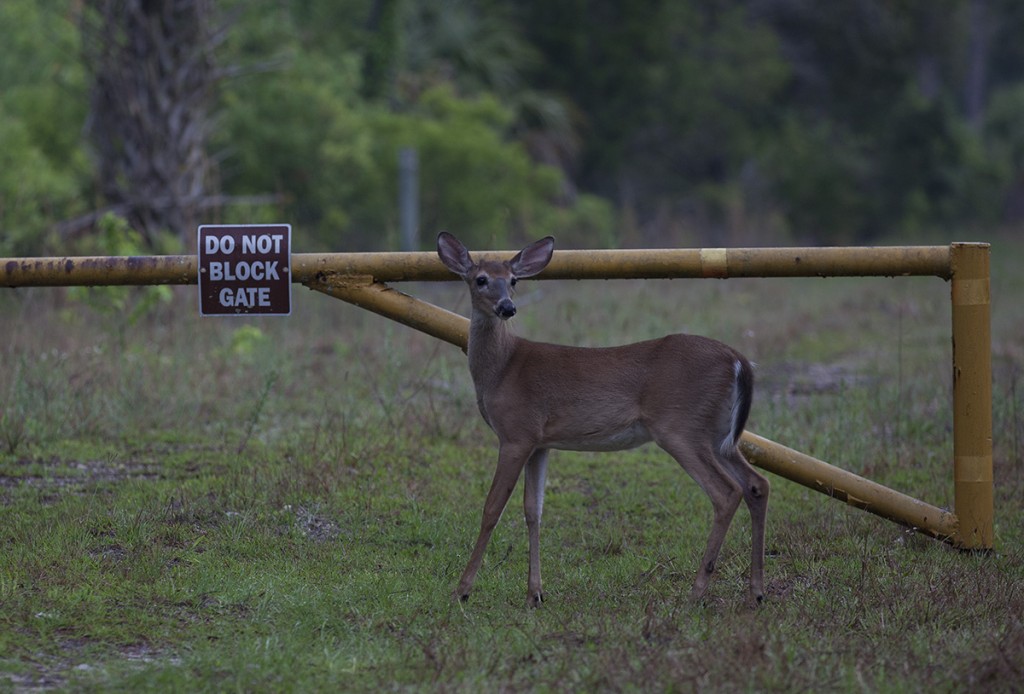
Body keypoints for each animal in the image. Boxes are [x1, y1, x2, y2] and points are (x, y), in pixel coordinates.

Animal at [436, 233, 770, 610]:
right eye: (481, 279)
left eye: (513, 280)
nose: (508, 308)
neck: (502, 369)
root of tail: (739, 360)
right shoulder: (540, 442)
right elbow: (533, 510)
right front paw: (535, 593)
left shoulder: (516, 433)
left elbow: (492, 508)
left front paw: (462, 589)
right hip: (720, 435)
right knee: (756, 484)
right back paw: (756, 591)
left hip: (680, 428)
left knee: (726, 492)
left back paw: (697, 591)